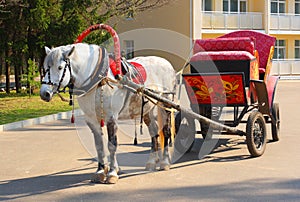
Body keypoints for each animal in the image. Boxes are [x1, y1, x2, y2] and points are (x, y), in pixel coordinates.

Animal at [39, 43, 177, 184]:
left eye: (60, 67)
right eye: (45, 68)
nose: (45, 93)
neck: (98, 80)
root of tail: (167, 64)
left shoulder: (111, 117)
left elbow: (112, 145)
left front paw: (112, 173)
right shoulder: (92, 120)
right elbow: (99, 145)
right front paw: (100, 171)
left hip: (166, 103)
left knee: (166, 131)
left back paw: (165, 162)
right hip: (147, 109)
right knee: (154, 133)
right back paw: (151, 162)